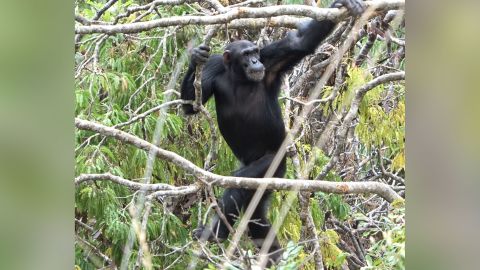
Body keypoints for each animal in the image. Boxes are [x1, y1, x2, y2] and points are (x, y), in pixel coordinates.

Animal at [180, 0, 364, 264]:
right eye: (246, 54)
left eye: (255, 52)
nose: (255, 62)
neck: (238, 75)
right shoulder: (215, 64)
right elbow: (191, 107)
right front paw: (195, 58)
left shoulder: (272, 58)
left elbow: (299, 44)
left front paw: (343, 5)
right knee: (256, 215)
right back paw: (271, 254)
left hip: (274, 165)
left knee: (241, 185)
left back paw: (217, 234)